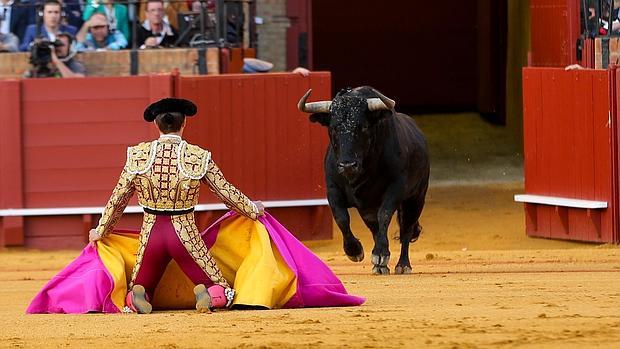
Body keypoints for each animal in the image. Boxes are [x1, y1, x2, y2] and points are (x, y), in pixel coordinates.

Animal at [298, 85, 428, 274]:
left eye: (364, 127)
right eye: (333, 128)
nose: (347, 165)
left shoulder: (395, 188)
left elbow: (385, 214)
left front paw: (381, 254)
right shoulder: (333, 189)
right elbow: (341, 218)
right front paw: (355, 250)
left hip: (416, 198)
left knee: (406, 229)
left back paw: (402, 265)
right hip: (368, 210)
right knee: (376, 229)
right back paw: (380, 265)